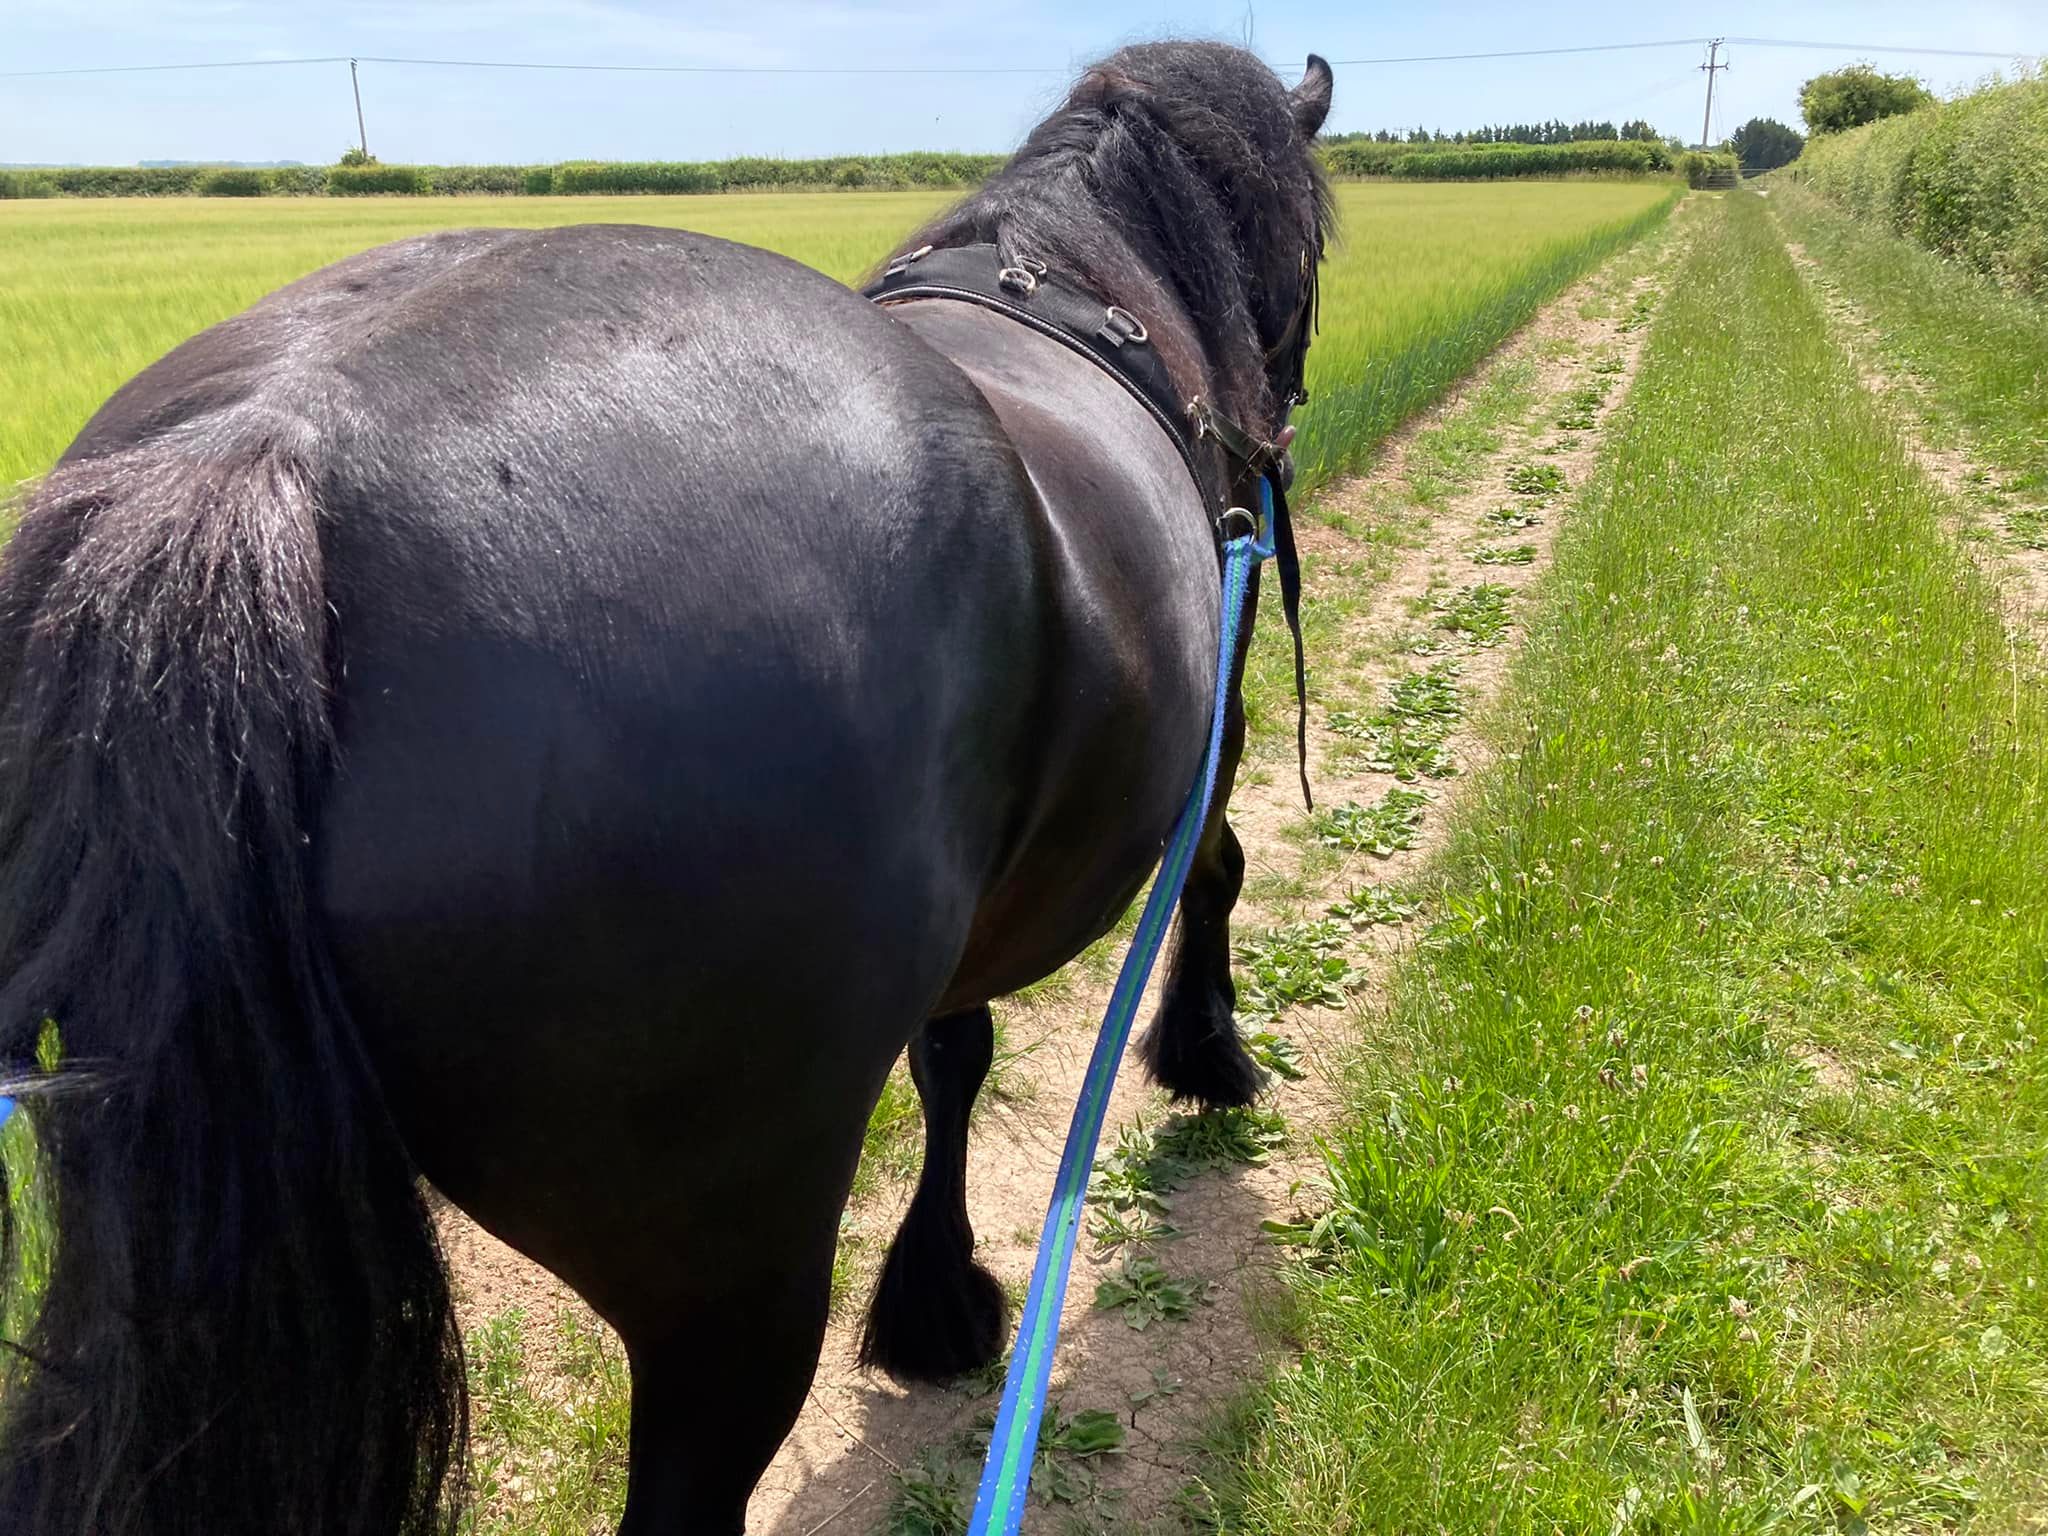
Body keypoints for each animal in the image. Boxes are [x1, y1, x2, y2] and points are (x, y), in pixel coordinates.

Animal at [0, 41, 1335, 1531]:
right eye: (1309, 252)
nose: (1277, 428)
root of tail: (260, 460)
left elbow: (954, 1053)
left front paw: (935, 1301)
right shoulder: (1210, 734)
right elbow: (1200, 882)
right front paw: (1204, 1054)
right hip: (728, 1296)